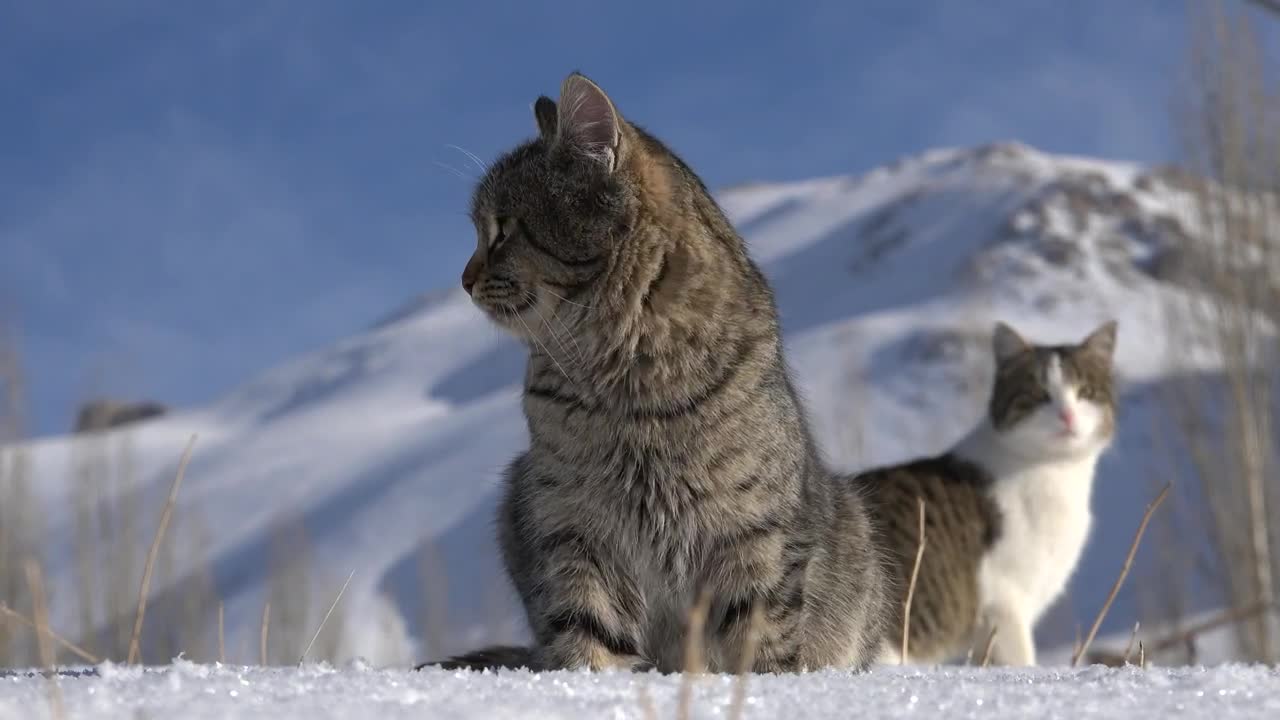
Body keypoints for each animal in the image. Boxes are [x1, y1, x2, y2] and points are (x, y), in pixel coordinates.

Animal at [414, 70, 885, 671]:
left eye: (503, 230)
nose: (464, 280)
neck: (626, 379)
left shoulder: (753, 532)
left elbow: (760, 642)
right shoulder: (572, 526)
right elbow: (587, 634)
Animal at [860, 316, 1121, 666]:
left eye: (1085, 392)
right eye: (1039, 394)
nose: (1067, 415)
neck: (1055, 474)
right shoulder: (1004, 602)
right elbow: (1021, 659)